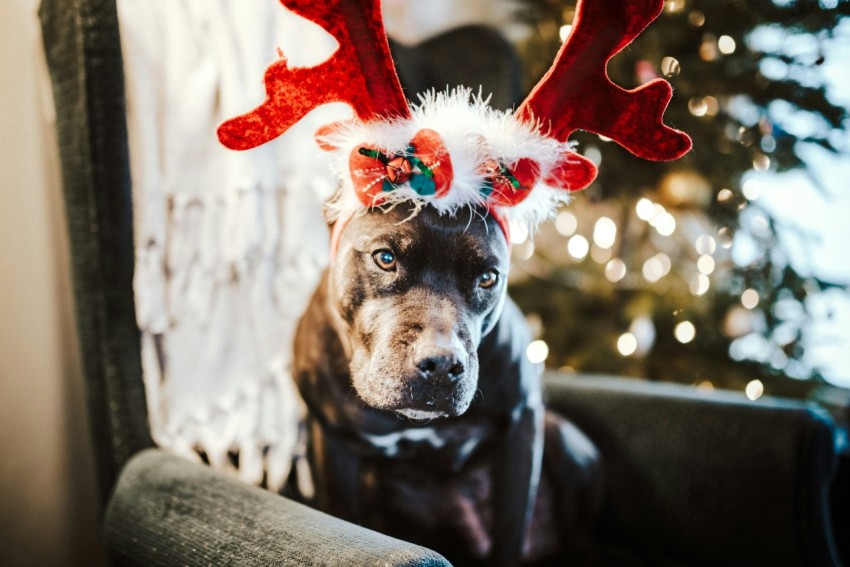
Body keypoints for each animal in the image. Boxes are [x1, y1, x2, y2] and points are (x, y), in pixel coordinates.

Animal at [294, 203, 604, 564]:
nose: (441, 364)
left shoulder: (521, 424)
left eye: (488, 277)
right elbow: (343, 510)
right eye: (384, 258)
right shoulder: (333, 440)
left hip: (564, 439)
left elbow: (511, 528)